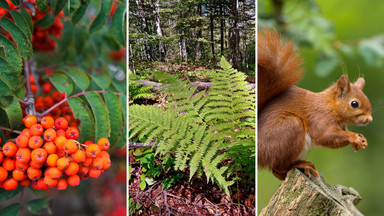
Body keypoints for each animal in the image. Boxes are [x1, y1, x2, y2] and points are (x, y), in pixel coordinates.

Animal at [258, 28, 372, 181]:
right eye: (354, 103)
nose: (369, 119)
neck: (331, 106)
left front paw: (361, 139)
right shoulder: (319, 117)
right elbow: (325, 135)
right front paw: (354, 137)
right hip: (289, 128)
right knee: (279, 168)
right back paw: (301, 165)